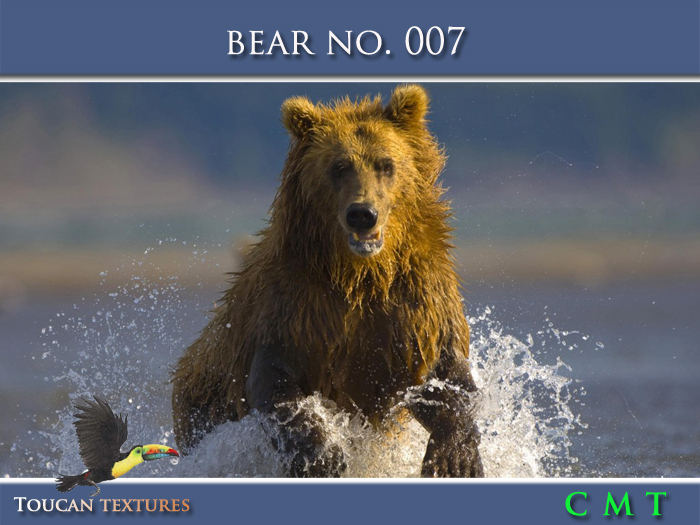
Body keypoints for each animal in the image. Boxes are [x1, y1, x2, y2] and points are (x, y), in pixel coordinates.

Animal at [171, 85, 484, 478]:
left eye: (386, 164)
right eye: (339, 166)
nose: (362, 214)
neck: (359, 275)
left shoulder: (414, 301)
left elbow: (444, 377)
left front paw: (454, 459)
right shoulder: (294, 306)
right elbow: (275, 384)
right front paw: (323, 456)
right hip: (204, 402)